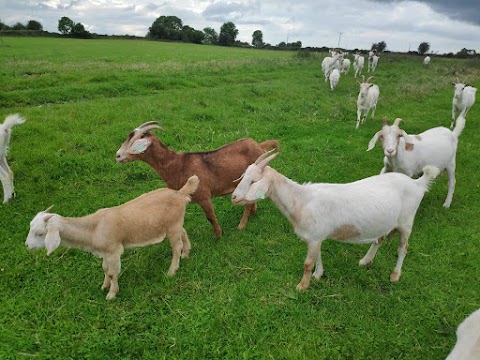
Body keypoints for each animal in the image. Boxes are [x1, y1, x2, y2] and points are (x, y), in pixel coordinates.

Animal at [25, 176, 199, 300]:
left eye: (40, 233)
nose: (27, 246)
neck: (93, 229)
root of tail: (180, 193)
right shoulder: (105, 253)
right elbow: (105, 269)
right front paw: (104, 286)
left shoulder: (114, 251)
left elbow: (113, 273)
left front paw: (112, 294)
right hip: (175, 224)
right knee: (183, 233)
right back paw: (186, 253)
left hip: (172, 226)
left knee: (176, 248)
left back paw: (172, 270)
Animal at [116, 121, 280, 239]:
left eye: (136, 140)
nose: (117, 155)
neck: (177, 164)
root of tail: (259, 146)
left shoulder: (203, 196)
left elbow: (210, 217)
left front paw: (218, 235)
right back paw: (252, 213)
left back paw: (242, 225)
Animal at [232, 150, 438, 292]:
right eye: (243, 176)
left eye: (253, 181)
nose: (234, 197)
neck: (302, 201)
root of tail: (417, 184)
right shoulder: (316, 237)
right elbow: (317, 257)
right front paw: (318, 275)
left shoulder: (315, 236)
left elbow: (307, 263)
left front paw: (302, 286)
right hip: (385, 222)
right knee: (379, 240)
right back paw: (365, 261)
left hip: (406, 222)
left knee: (403, 248)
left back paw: (395, 275)